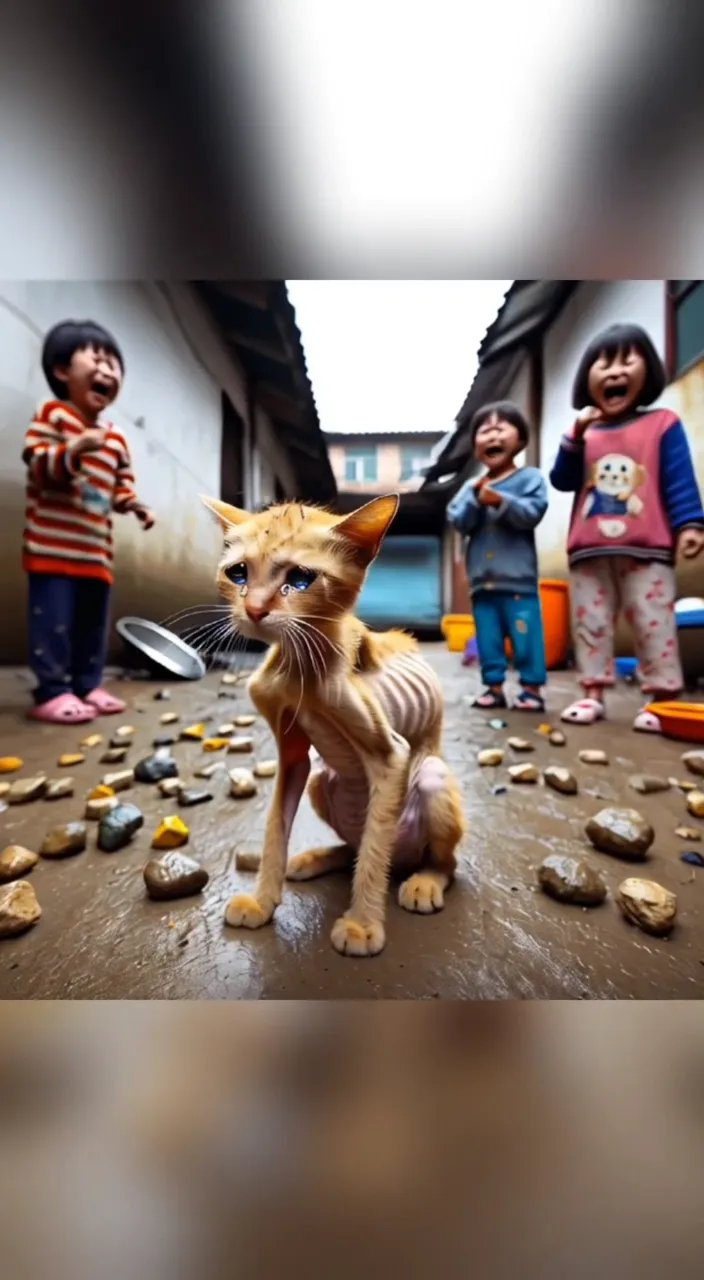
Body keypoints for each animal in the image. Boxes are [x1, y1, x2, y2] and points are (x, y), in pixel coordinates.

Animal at [204, 494, 468, 957]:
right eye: (238, 572)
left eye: (300, 578)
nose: (254, 609)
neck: (299, 666)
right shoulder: (293, 759)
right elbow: (276, 826)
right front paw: (262, 900)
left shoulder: (391, 755)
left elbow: (375, 847)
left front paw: (362, 925)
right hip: (319, 779)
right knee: (356, 846)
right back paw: (314, 859)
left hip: (432, 775)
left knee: (435, 859)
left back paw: (425, 880)